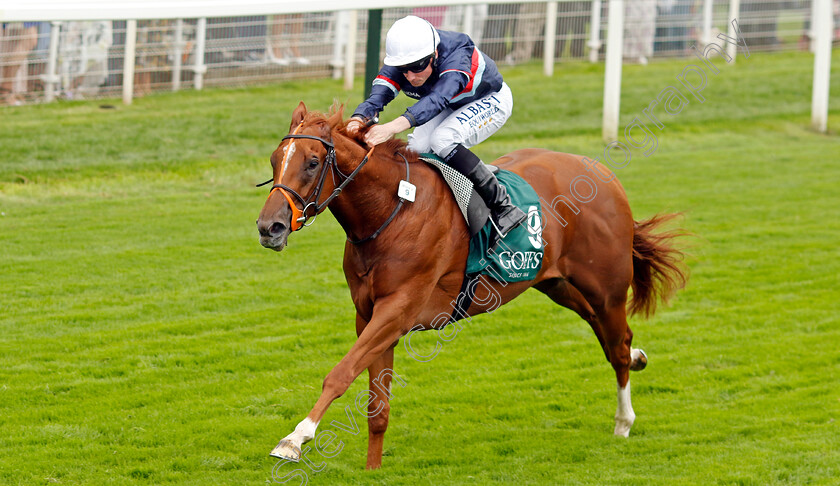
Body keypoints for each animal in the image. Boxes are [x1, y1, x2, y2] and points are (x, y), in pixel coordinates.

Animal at [258, 103, 688, 470]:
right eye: (275, 160)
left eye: (312, 162)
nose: (269, 228)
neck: (392, 211)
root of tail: (604, 173)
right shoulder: (369, 317)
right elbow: (376, 405)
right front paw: (372, 468)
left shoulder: (397, 311)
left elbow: (341, 372)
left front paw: (294, 439)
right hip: (558, 284)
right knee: (606, 335)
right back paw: (638, 358)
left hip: (606, 287)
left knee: (616, 344)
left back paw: (624, 419)